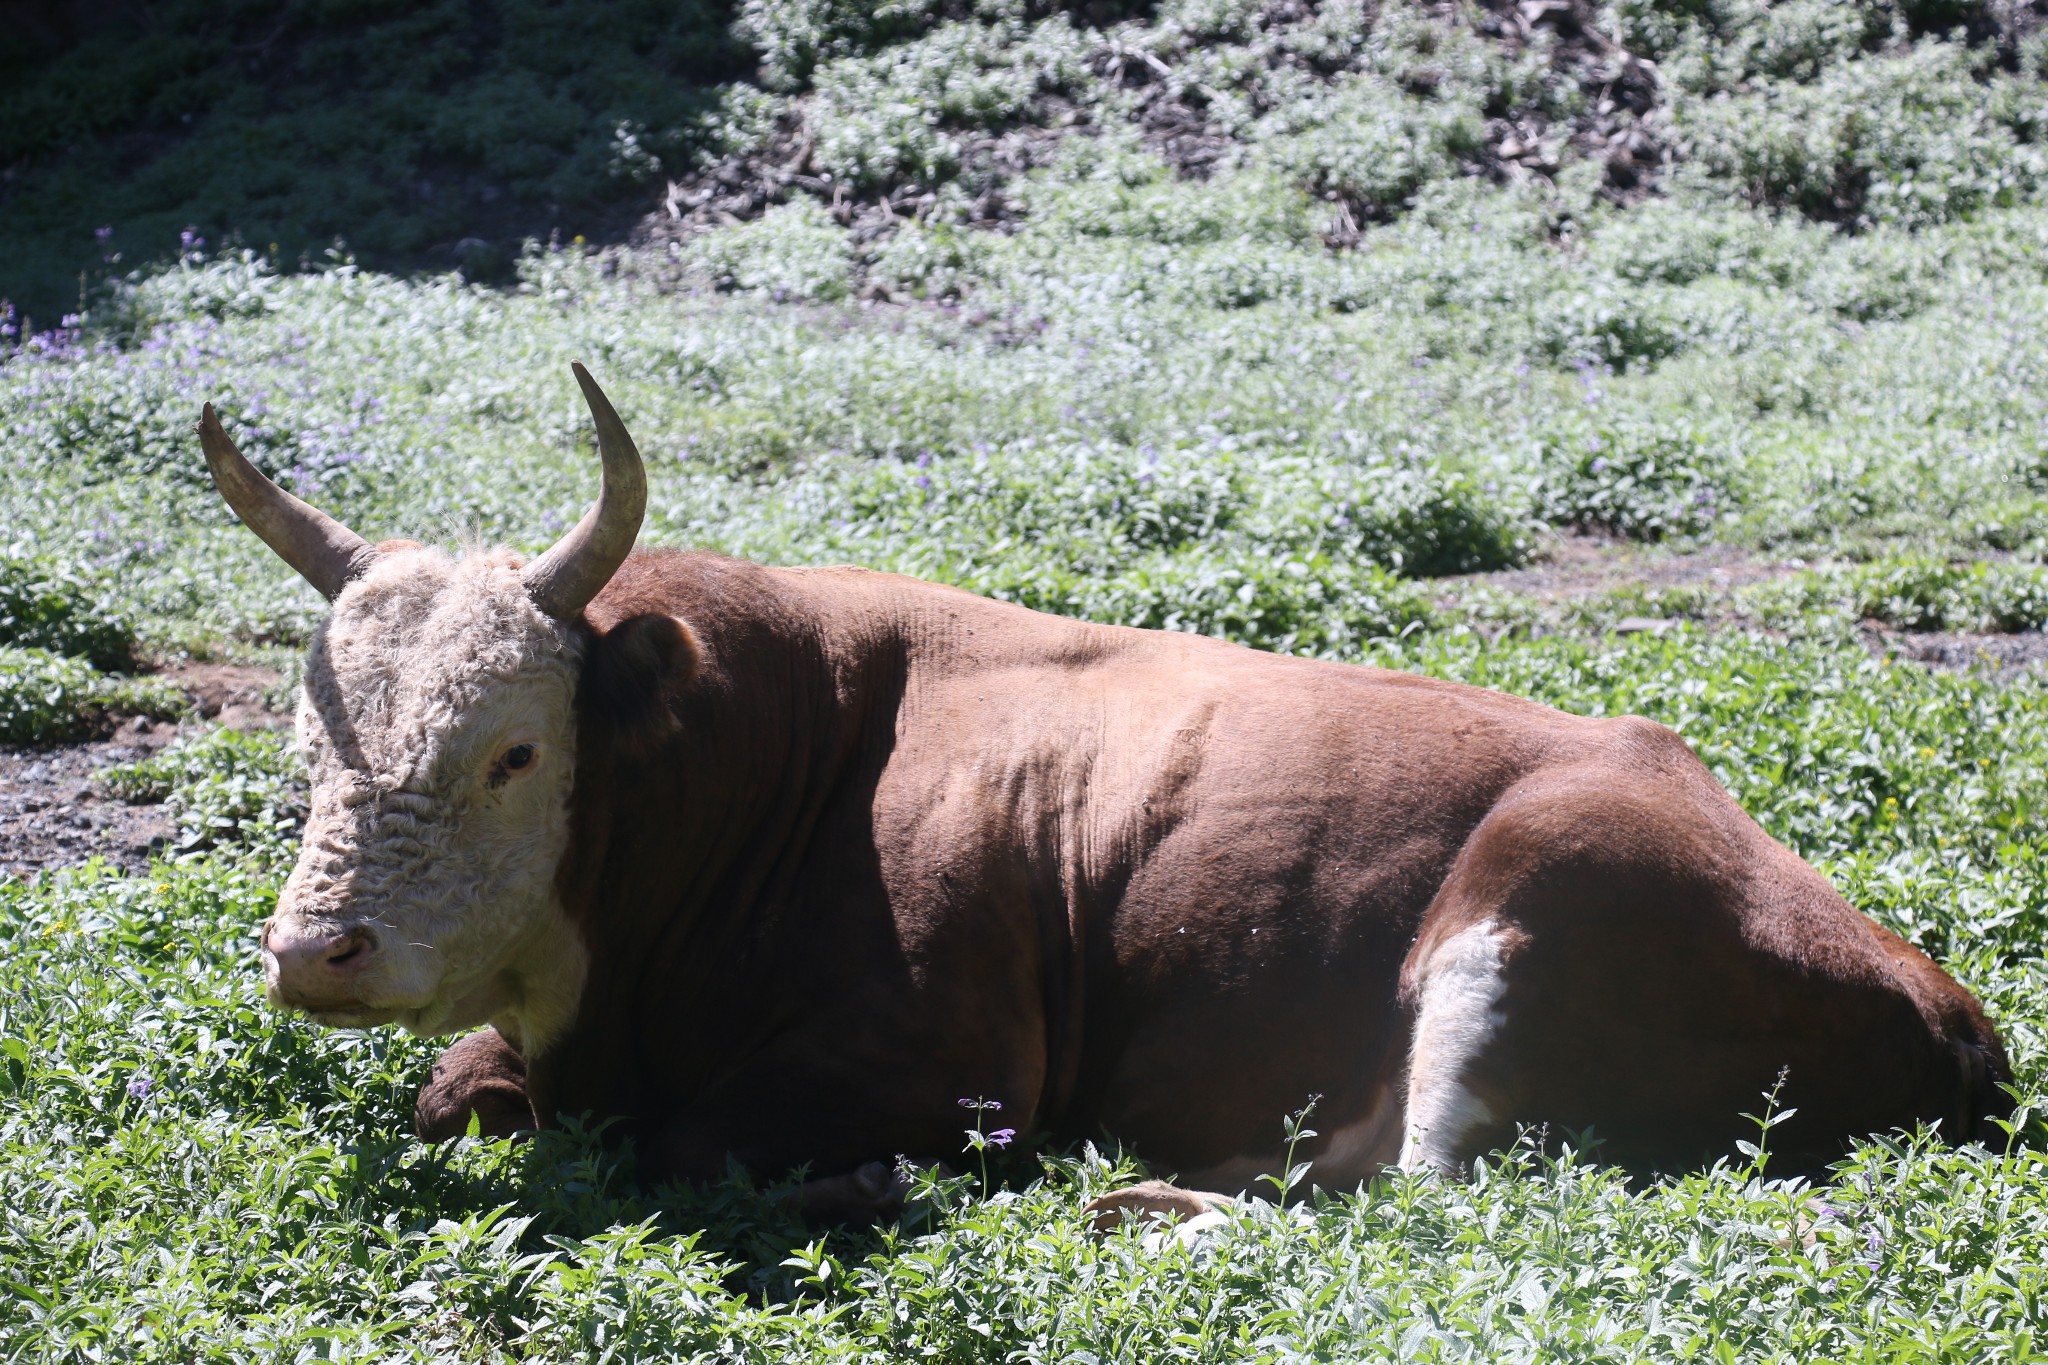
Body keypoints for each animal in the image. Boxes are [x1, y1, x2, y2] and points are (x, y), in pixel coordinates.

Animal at [203, 366, 1998, 1219]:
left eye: (511, 752)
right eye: (308, 750)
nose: (317, 952)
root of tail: (1939, 994)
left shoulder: (953, 1056)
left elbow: (699, 1138)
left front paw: (873, 1186)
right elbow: (452, 1095)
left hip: (1531, 914)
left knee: (1417, 1205)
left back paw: (1125, 1197)